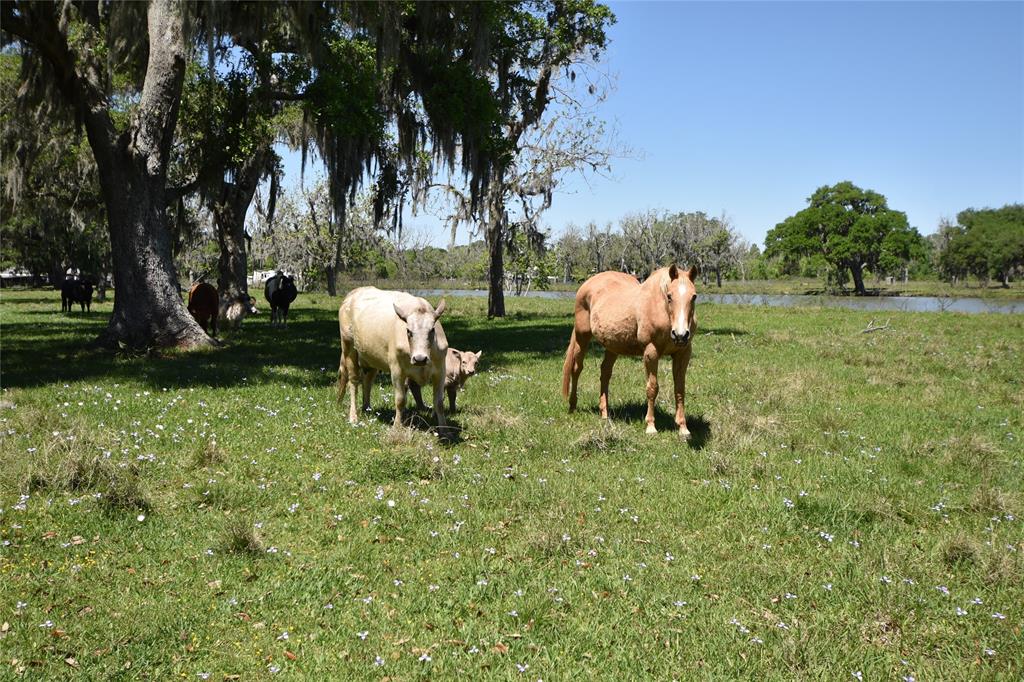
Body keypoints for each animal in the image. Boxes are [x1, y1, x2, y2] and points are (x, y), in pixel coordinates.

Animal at [339, 286, 448, 430]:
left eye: (432, 330)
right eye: (408, 331)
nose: (420, 359)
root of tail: (353, 293)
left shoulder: (440, 371)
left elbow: (439, 402)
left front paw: (444, 429)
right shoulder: (397, 371)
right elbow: (400, 400)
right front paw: (397, 426)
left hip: (371, 356)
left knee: (368, 380)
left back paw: (367, 408)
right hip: (348, 346)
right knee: (353, 381)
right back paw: (353, 416)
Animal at [561, 262, 696, 438]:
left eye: (694, 297)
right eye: (669, 296)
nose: (680, 335)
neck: (661, 310)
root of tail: (588, 283)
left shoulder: (682, 353)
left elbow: (679, 389)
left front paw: (683, 428)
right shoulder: (650, 352)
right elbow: (652, 388)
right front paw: (651, 426)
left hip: (612, 346)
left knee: (605, 373)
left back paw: (605, 414)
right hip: (582, 336)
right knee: (577, 369)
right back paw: (572, 406)